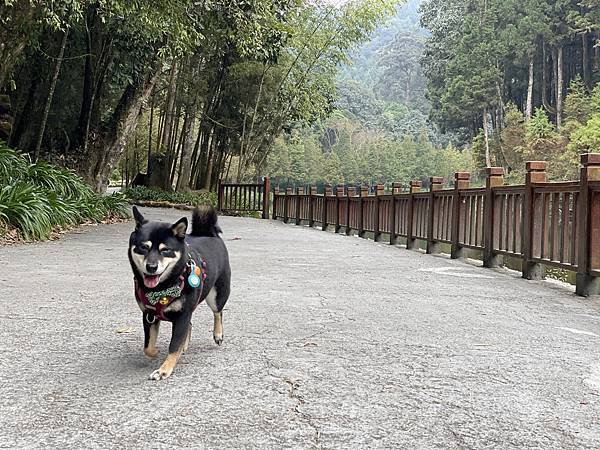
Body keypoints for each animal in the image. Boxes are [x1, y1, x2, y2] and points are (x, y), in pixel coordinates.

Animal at [128, 205, 230, 380]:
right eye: (143, 247)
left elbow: (174, 345)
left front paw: (164, 370)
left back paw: (218, 334)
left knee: (218, 312)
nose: (151, 267)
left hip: (217, 295)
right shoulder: (149, 315)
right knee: (191, 324)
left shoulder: (182, 316)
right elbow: (148, 346)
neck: (161, 289)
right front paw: (155, 352)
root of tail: (209, 234)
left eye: (165, 250)